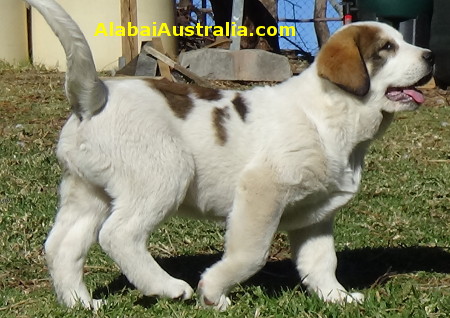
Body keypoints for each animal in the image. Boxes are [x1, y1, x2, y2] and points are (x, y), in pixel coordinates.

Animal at [26, 0, 434, 310]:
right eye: (386, 49)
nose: (431, 56)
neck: (332, 116)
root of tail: (96, 97)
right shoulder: (262, 191)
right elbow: (250, 253)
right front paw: (212, 292)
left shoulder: (315, 213)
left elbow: (321, 261)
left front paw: (337, 297)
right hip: (164, 176)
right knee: (119, 235)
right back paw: (167, 286)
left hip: (86, 192)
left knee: (63, 246)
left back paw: (80, 303)